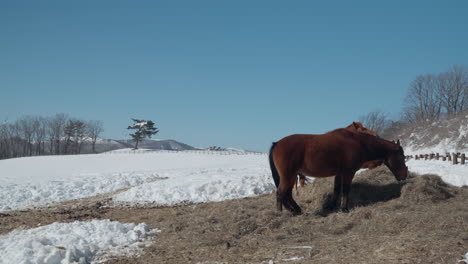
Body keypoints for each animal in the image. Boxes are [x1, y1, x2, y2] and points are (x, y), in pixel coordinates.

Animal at [268, 128, 408, 214]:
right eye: (401, 157)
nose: (404, 176)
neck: (357, 141)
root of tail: (277, 143)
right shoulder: (348, 173)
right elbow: (345, 190)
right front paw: (344, 208)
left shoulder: (339, 174)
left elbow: (336, 189)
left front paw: (331, 206)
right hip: (288, 176)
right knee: (280, 194)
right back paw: (281, 214)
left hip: (291, 177)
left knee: (287, 195)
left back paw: (297, 211)